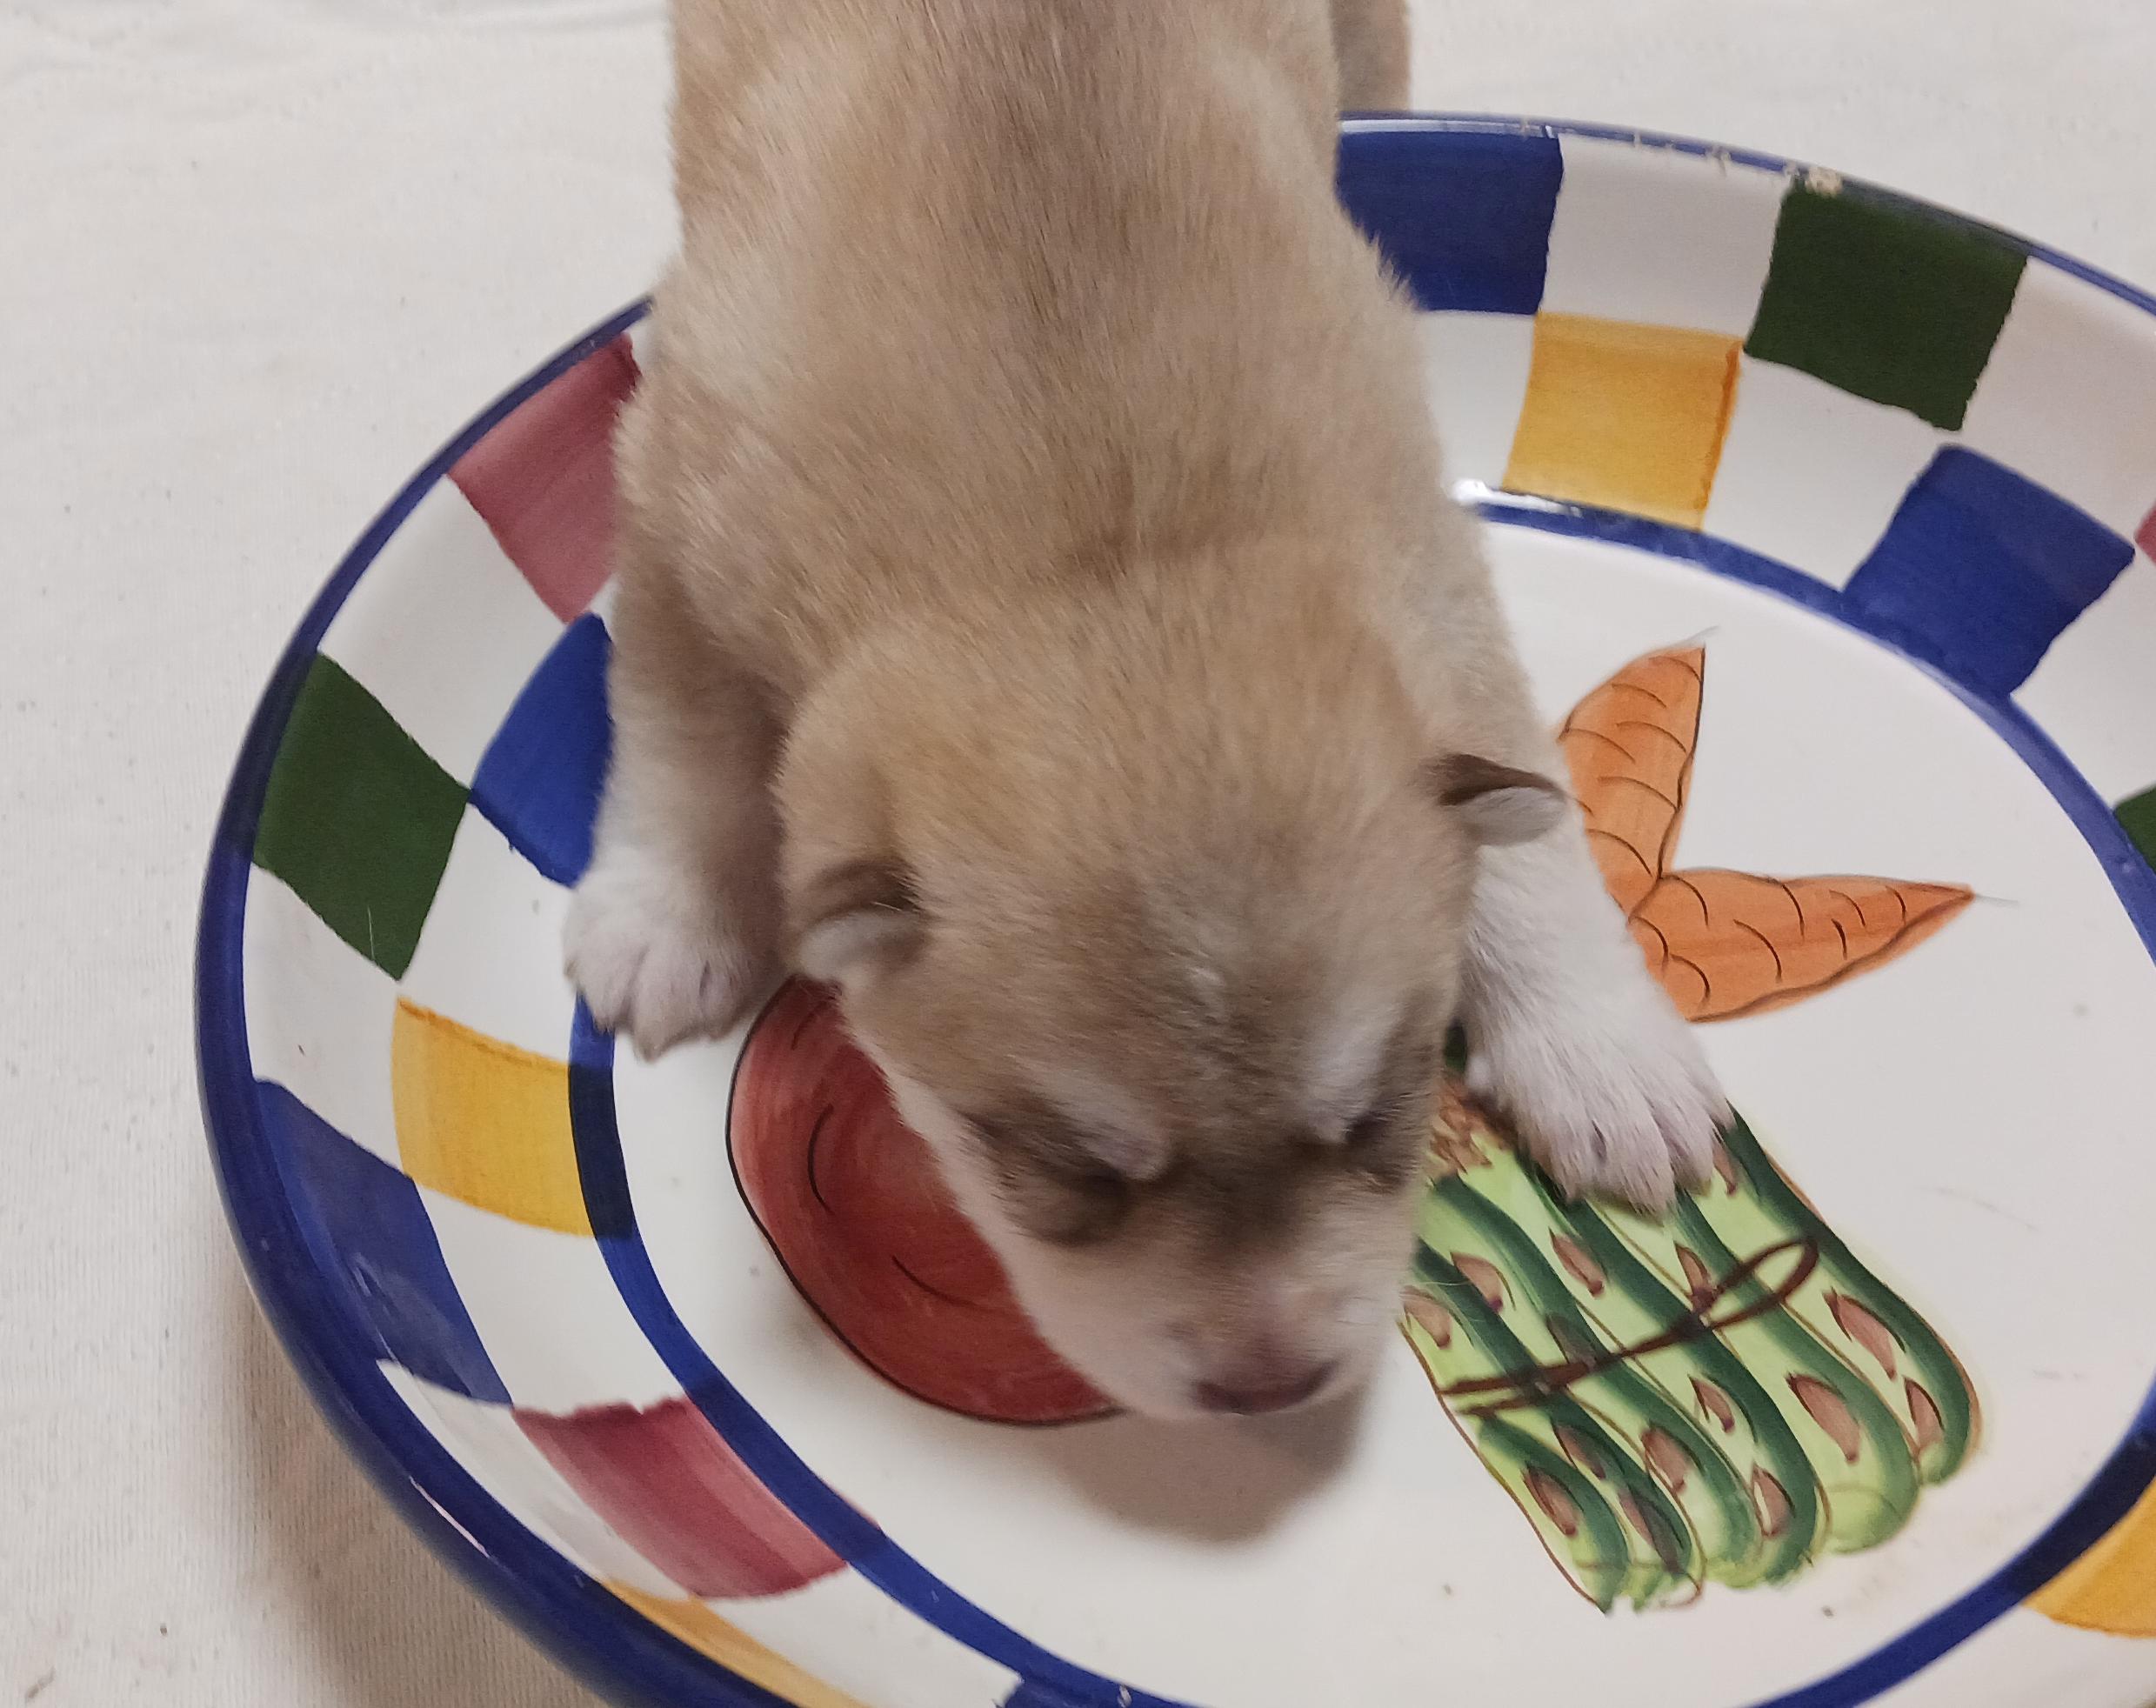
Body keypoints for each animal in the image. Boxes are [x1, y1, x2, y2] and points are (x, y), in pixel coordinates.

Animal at [567, 0, 1727, 1421]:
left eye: (1379, 1111)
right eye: (1069, 1166)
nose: (1272, 1386)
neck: (1100, 537)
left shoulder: (1425, 559)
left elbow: (1527, 811)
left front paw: (1599, 1045)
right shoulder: (670, 495)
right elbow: (682, 739)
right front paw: (666, 914)